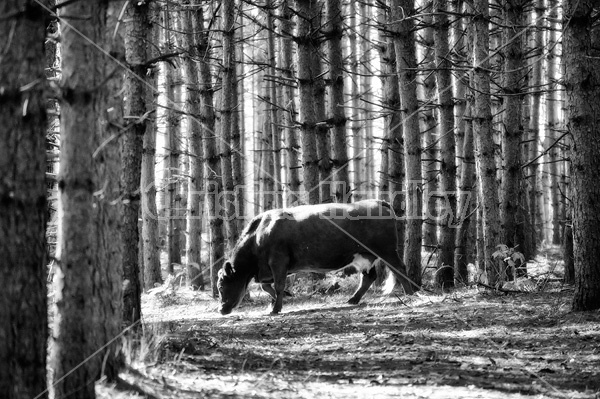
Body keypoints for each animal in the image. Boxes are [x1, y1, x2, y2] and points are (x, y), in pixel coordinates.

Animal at [217, 200, 418, 316]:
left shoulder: (278, 261)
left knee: (400, 270)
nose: (221, 309)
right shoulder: (268, 269)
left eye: (221, 285)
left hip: (387, 251)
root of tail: (376, 201)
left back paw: (410, 295)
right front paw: (283, 298)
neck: (260, 234)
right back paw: (353, 299)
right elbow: (267, 286)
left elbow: (278, 285)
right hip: (364, 255)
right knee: (368, 277)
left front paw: (275, 308)